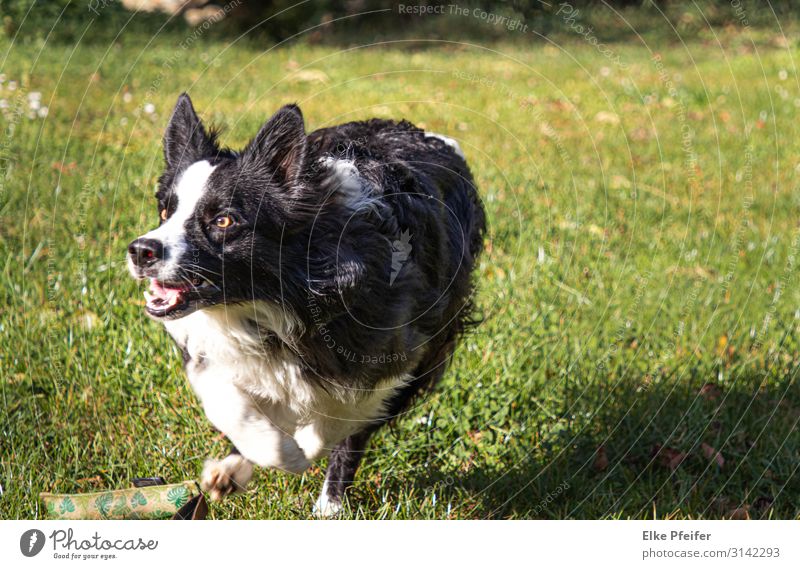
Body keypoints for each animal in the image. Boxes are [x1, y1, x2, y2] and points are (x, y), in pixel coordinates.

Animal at [128, 95, 484, 516]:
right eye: (165, 212)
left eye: (223, 221)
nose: (141, 250)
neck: (267, 301)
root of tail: (433, 137)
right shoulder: (212, 343)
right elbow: (231, 403)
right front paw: (254, 456)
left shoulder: (394, 351)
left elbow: (342, 418)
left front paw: (303, 455)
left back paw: (328, 504)